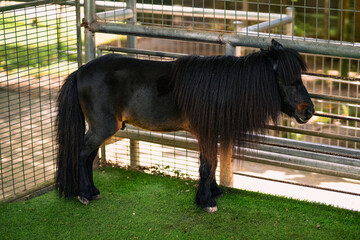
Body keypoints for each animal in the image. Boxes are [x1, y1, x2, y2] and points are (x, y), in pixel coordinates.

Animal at [57, 39, 316, 212]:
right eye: (289, 79)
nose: (309, 111)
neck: (221, 88)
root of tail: (80, 71)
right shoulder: (205, 133)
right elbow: (206, 166)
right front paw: (207, 201)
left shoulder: (210, 134)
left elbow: (212, 163)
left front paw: (213, 192)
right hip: (103, 127)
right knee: (82, 153)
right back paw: (84, 194)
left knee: (89, 156)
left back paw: (93, 191)